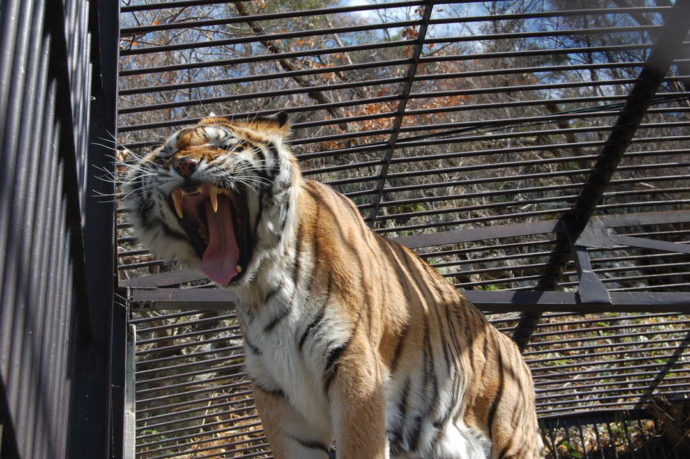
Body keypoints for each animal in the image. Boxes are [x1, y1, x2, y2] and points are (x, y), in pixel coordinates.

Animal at [123, 112, 544, 459]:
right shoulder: (276, 392)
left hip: (513, 438)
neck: (262, 285)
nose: (184, 165)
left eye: (221, 144)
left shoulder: (355, 368)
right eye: (167, 155)